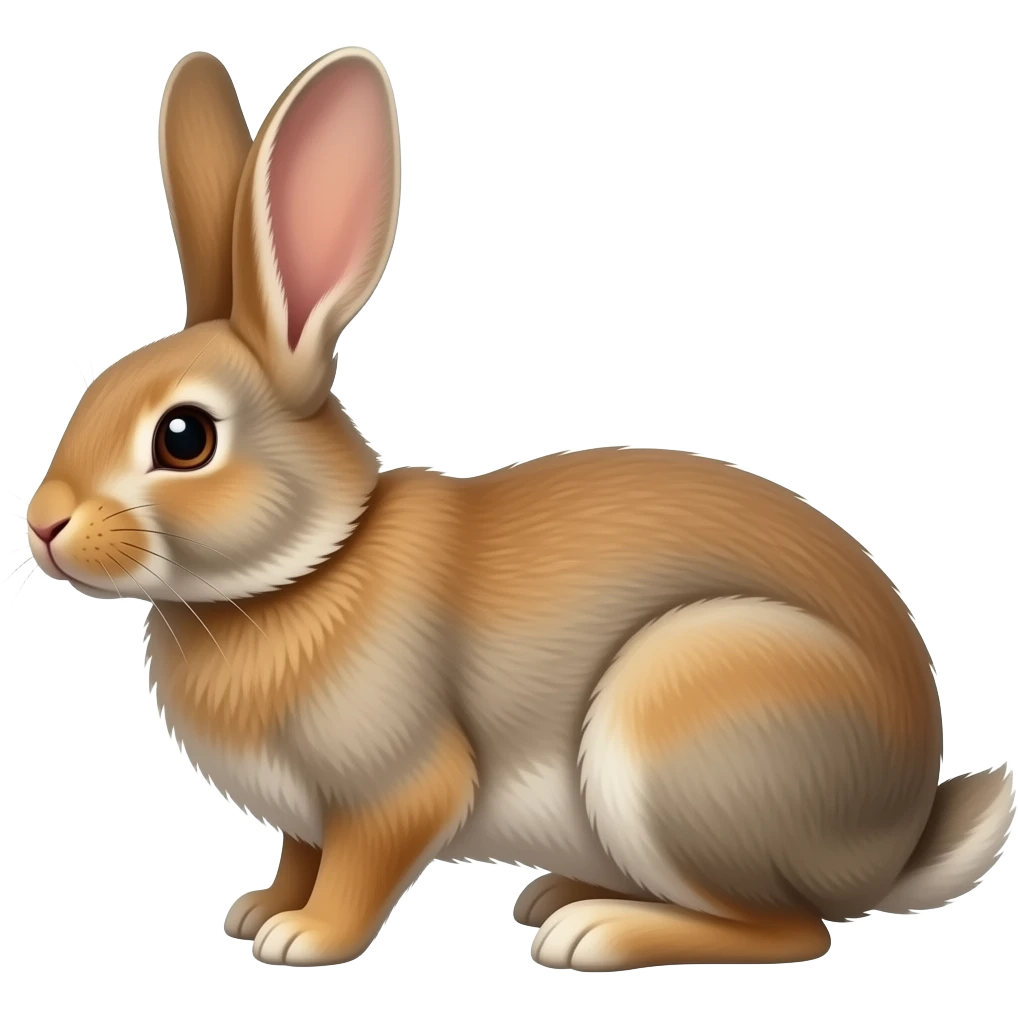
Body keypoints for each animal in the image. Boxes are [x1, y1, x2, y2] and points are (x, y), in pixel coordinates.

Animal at [23, 45, 1015, 972]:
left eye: (184, 437)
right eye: (91, 393)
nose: (44, 525)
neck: (313, 565)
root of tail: (896, 839)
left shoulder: (392, 789)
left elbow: (359, 867)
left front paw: (304, 937)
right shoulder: (304, 818)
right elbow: (300, 857)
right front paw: (259, 910)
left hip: (685, 723)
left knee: (793, 929)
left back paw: (595, 933)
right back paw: (559, 896)